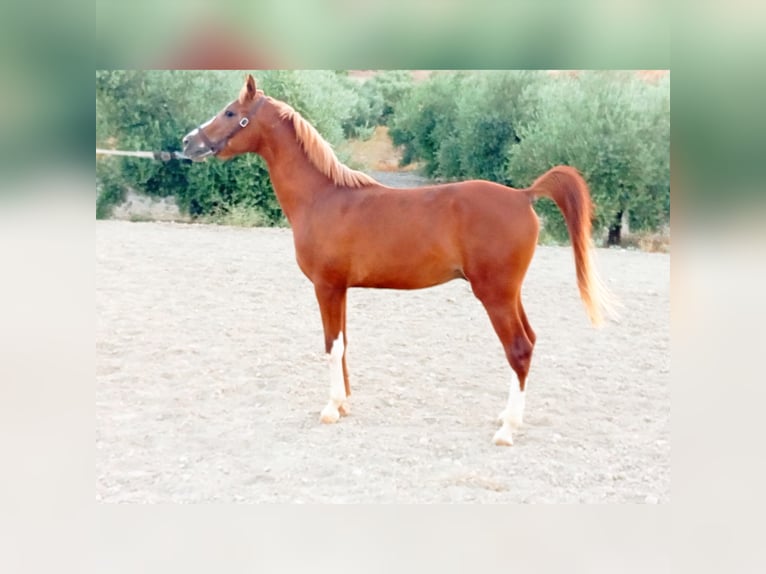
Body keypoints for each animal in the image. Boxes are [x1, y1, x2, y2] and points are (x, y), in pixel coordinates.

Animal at [182, 73, 615, 446]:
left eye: (229, 112)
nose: (188, 142)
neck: (323, 198)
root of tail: (524, 195)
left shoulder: (327, 287)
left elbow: (332, 345)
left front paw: (330, 408)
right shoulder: (341, 290)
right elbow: (343, 343)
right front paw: (343, 404)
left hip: (495, 295)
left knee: (519, 349)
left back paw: (506, 430)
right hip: (510, 293)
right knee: (530, 342)